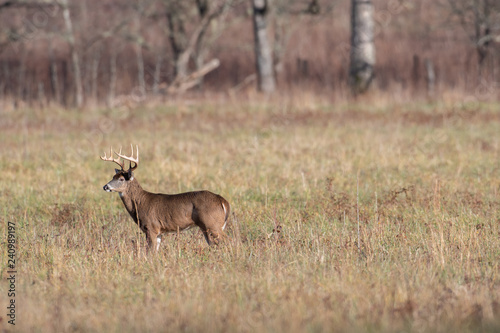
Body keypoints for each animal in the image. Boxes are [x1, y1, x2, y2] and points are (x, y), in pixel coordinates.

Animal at [101, 144, 230, 250]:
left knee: (227, 240)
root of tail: (223, 201)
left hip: (212, 224)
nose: (105, 186)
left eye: (121, 179)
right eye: (113, 176)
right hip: (208, 227)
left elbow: (150, 252)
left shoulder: (151, 228)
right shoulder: (159, 233)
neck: (140, 203)